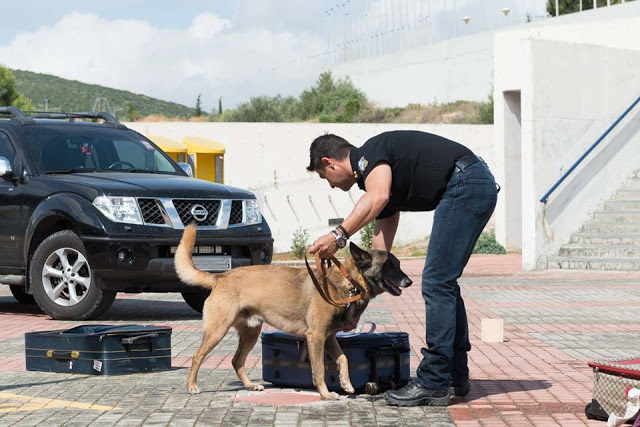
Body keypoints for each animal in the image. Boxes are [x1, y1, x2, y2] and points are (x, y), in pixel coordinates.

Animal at [176, 224, 410, 402]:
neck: (348, 283)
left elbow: (343, 358)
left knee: (236, 361)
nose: (409, 282)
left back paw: (251, 385)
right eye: (389, 266)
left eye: (398, 264)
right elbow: (319, 370)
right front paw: (326, 394)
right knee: (197, 356)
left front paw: (346, 383)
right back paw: (192, 386)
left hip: (251, 334)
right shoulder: (316, 337)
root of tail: (220, 277)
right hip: (217, 331)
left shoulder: (329, 337)